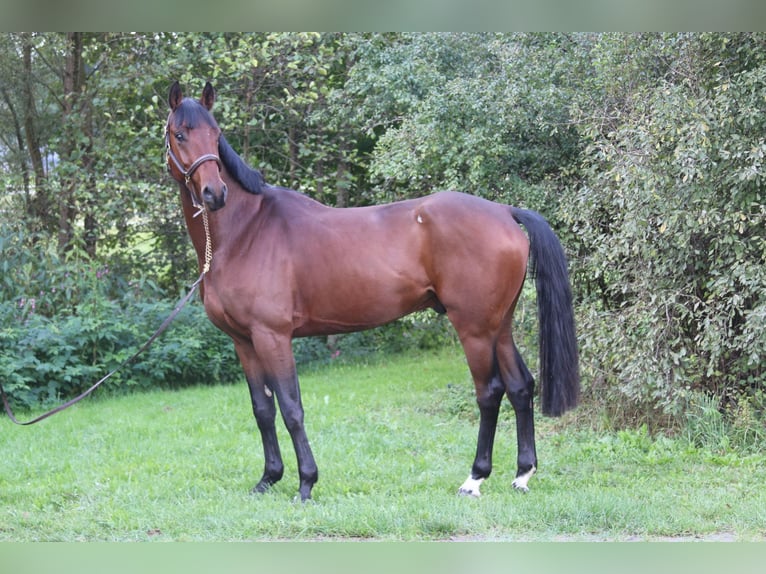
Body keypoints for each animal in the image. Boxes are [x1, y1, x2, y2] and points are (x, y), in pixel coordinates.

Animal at [164, 81, 579, 501]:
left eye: (216, 134)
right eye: (180, 134)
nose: (215, 193)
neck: (246, 230)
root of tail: (504, 212)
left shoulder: (273, 337)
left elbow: (291, 407)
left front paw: (306, 483)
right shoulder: (244, 341)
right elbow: (262, 410)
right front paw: (268, 479)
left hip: (475, 329)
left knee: (490, 392)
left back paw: (474, 478)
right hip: (500, 326)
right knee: (520, 386)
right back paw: (523, 474)